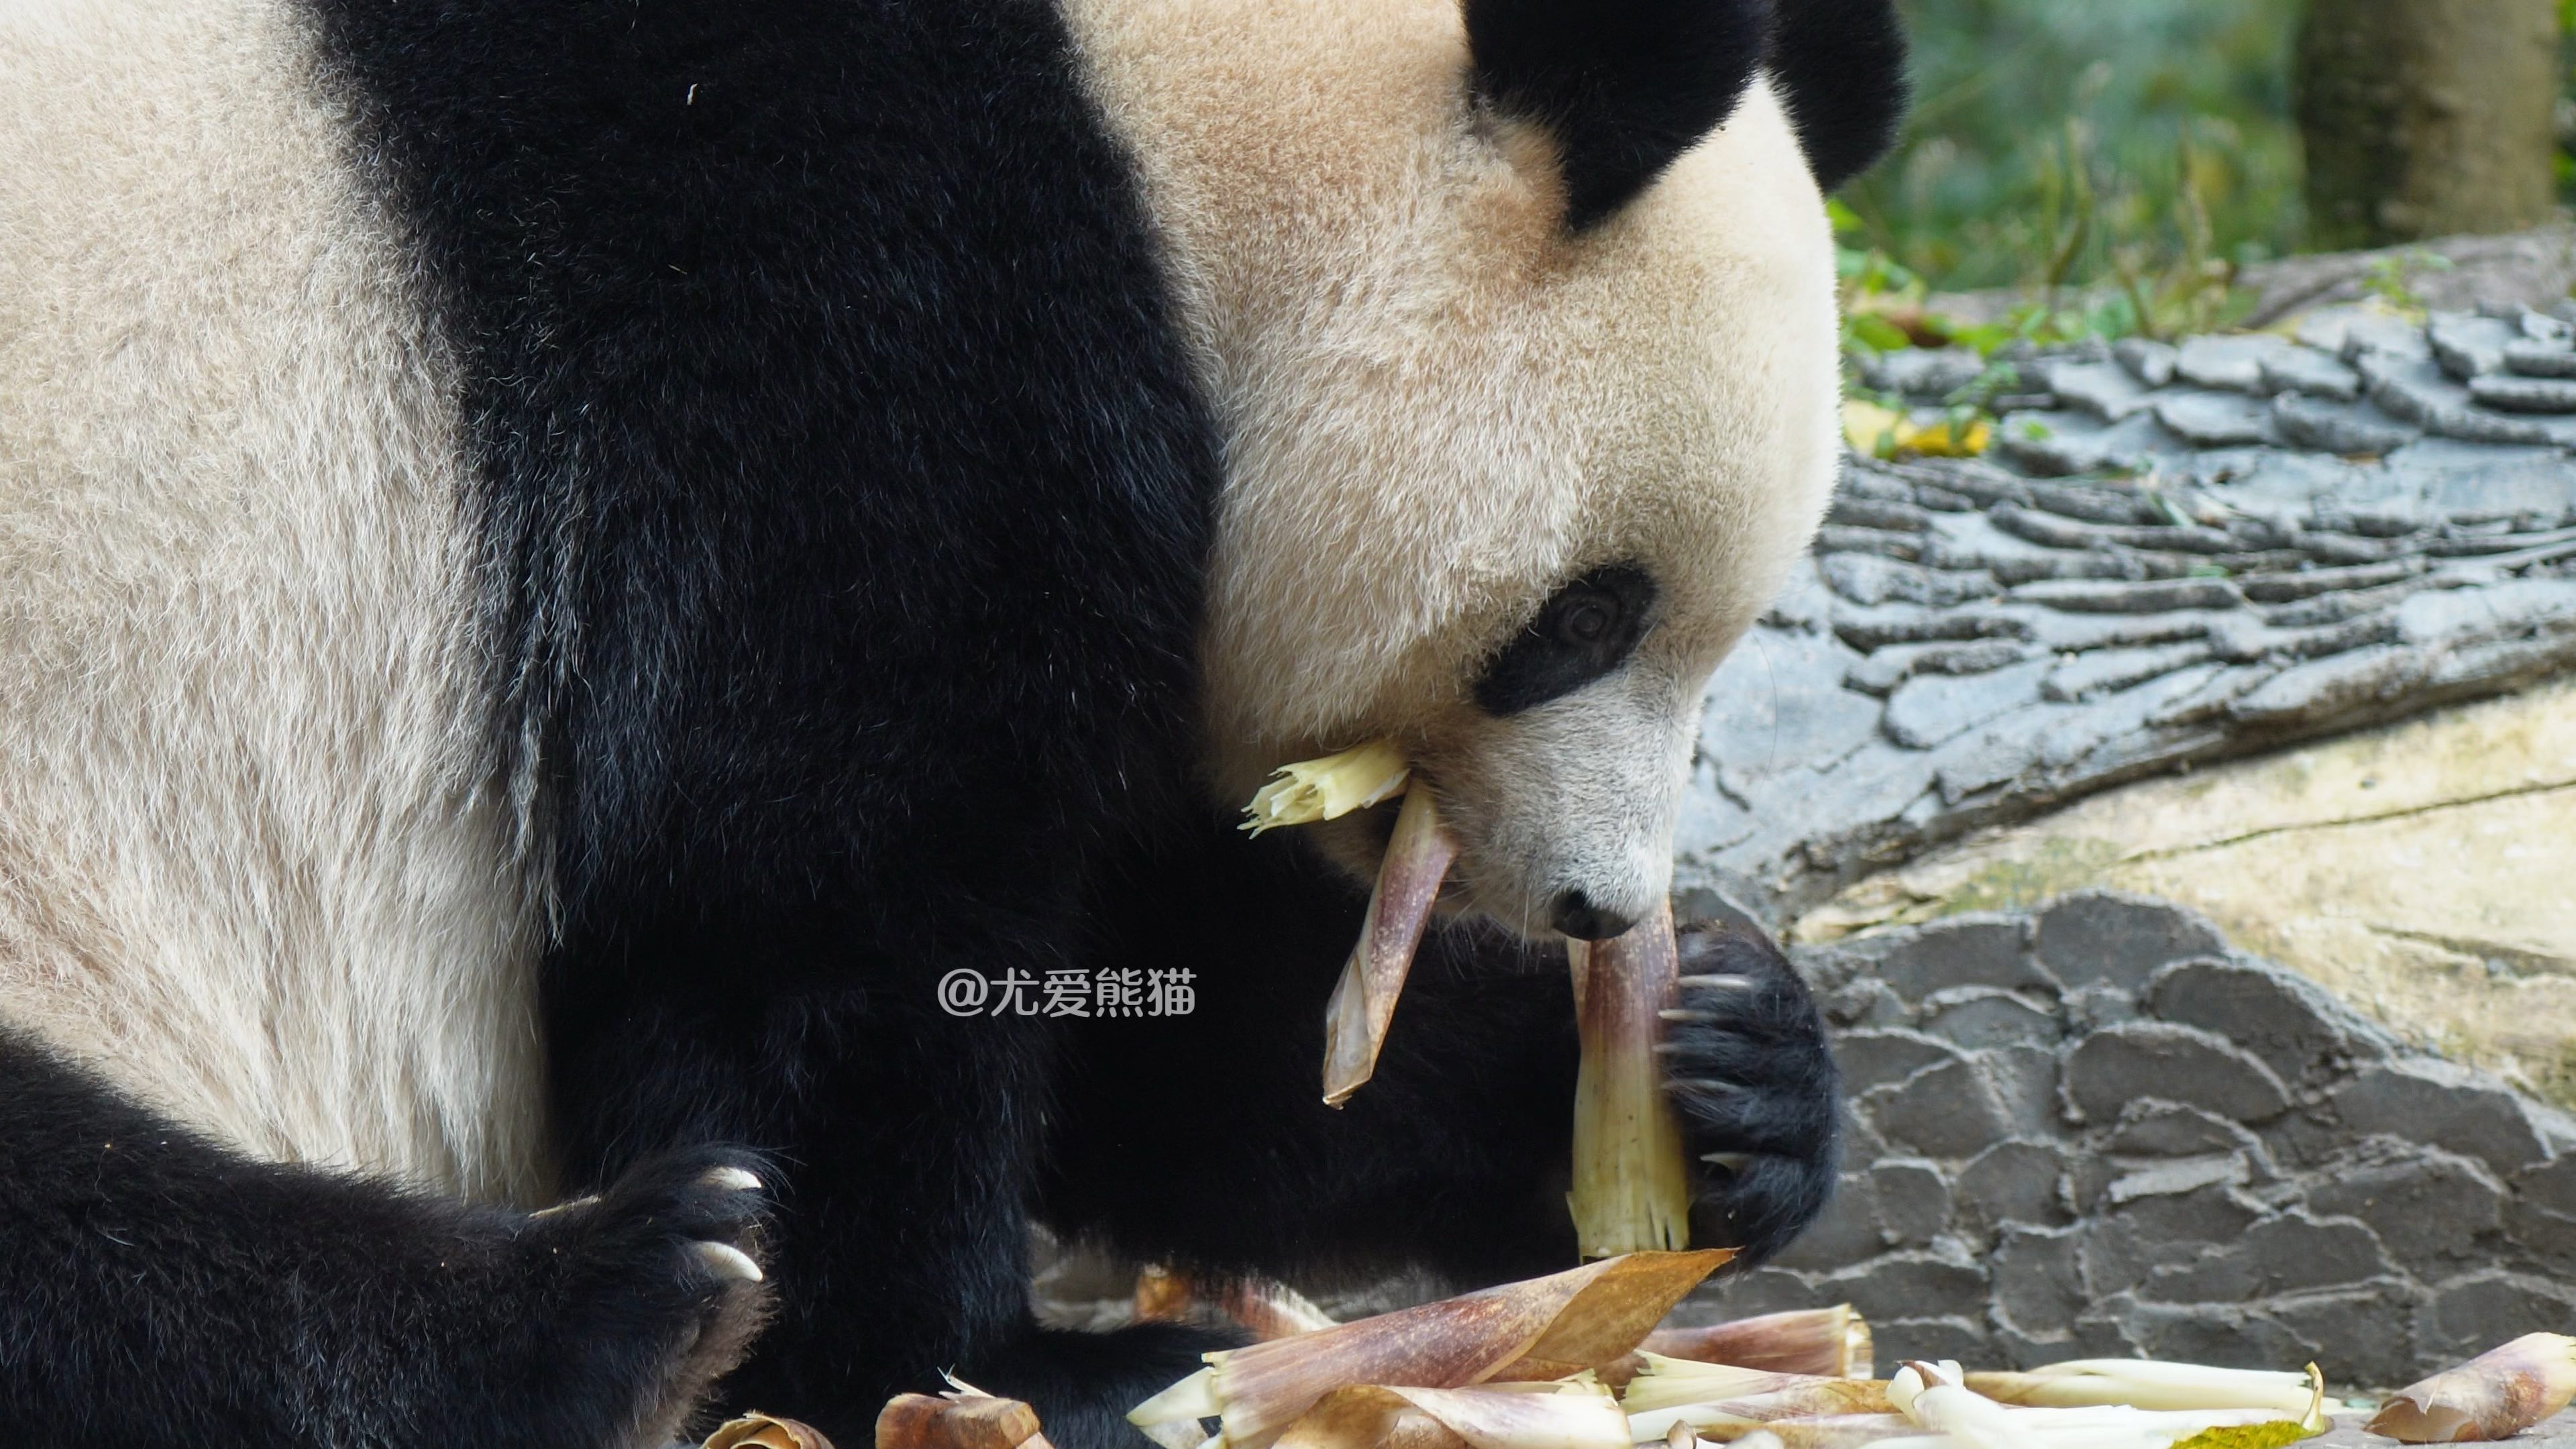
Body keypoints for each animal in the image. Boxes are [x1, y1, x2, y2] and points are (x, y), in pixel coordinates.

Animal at [0, 0, 1896, 1433]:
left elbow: (1152, 993)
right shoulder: (824, 311)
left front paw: (1729, 1075)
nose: (1598, 903)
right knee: (84, 1236)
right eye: (1583, 619)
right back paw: (616, 1311)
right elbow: (819, 906)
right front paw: (988, 1373)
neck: (1158, 131)